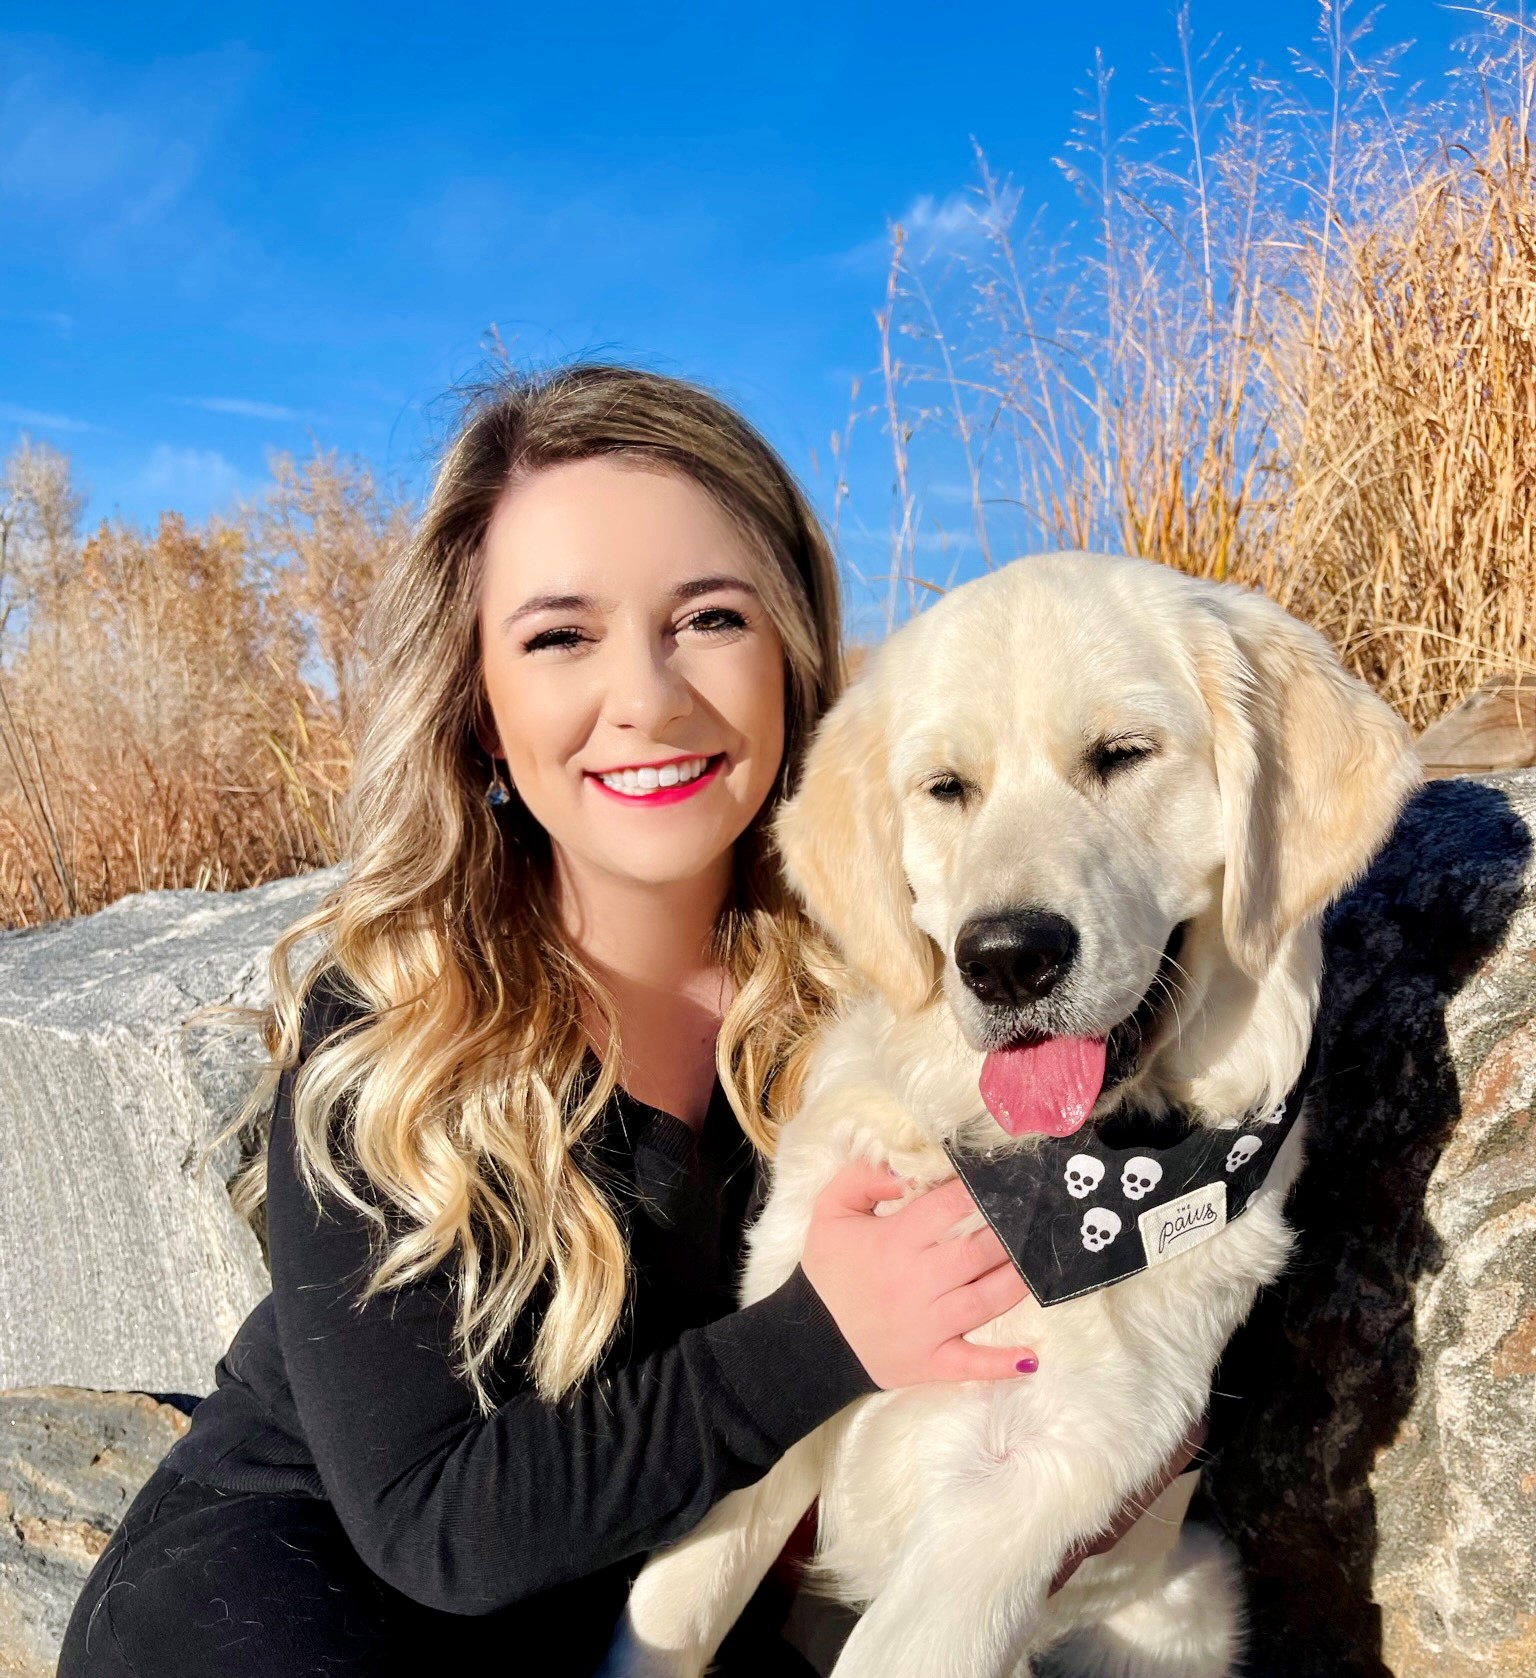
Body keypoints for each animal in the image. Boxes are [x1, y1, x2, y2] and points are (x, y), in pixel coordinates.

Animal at [607, 553, 1423, 1678]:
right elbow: (676, 1602)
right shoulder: (783, 1384)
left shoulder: (1043, 1475)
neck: (1037, 1185)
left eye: (1122, 755)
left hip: (1190, 1596)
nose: (1006, 959)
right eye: (948, 788)